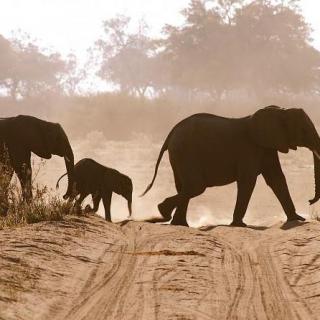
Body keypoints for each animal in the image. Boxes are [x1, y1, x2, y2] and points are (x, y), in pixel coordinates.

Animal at [142, 106, 320, 226]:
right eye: (304, 130)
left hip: (179, 154)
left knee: (184, 187)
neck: (279, 111)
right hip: (185, 152)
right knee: (196, 187)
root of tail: (171, 132)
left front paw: (297, 219)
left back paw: (178, 223)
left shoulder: (266, 147)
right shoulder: (250, 148)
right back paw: (162, 212)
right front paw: (239, 225)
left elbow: (276, 179)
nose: (309, 201)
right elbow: (248, 181)